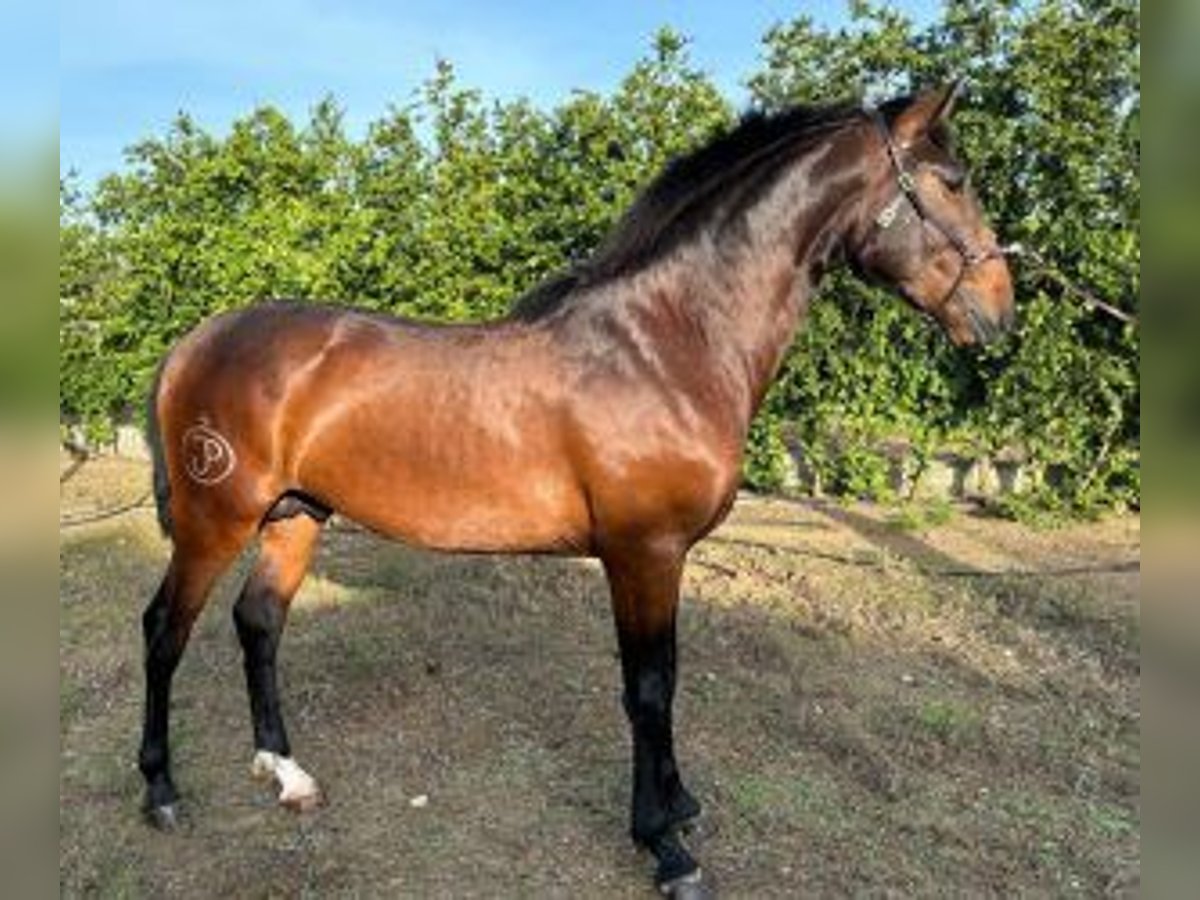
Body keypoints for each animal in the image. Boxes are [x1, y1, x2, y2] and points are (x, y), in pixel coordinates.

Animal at [138, 82, 1012, 897]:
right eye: (953, 181)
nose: (1000, 313)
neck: (668, 343)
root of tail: (194, 343)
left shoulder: (659, 557)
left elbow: (665, 679)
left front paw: (679, 806)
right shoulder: (643, 551)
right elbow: (649, 689)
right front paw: (666, 847)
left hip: (295, 516)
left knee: (258, 623)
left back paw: (286, 774)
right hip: (217, 520)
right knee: (164, 631)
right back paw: (160, 791)